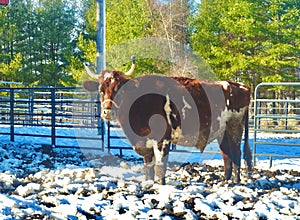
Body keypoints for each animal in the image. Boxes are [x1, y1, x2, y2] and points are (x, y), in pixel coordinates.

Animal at [83, 56, 252, 184]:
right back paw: (225, 181)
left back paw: (235, 182)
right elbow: (148, 168)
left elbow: (160, 167)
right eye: (101, 90)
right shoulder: (144, 142)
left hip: (234, 129)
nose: (107, 111)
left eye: (120, 89)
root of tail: (239, 85)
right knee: (227, 155)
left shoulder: (162, 139)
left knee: (236, 154)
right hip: (222, 133)